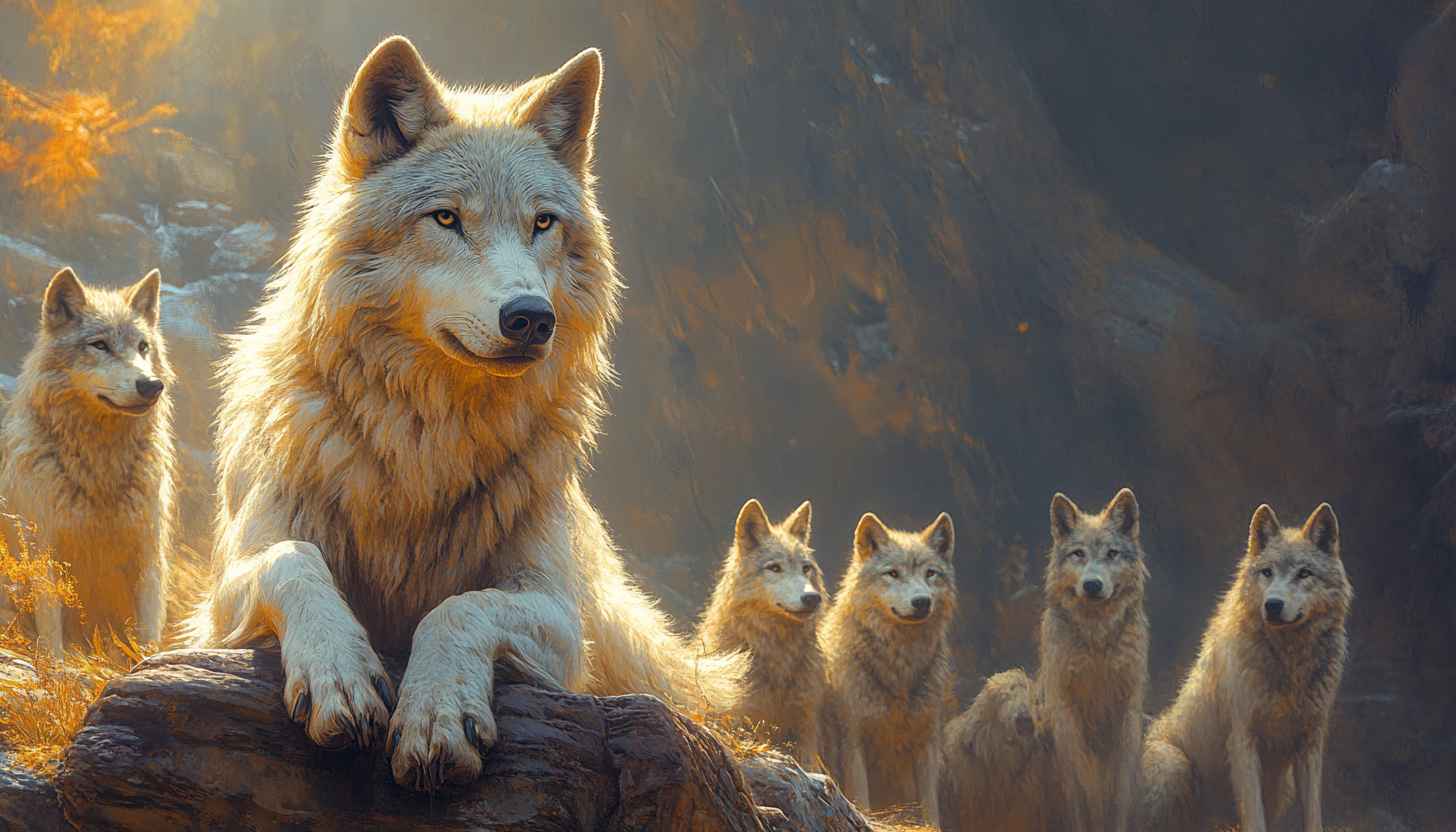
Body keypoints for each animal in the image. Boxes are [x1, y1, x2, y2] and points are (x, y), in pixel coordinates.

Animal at [0, 267, 175, 657]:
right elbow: (51, 633)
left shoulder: (148, 556)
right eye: (100, 345)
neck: (99, 472)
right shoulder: (43, 554)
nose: (151, 385)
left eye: (143, 347)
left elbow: (147, 637)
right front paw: (56, 666)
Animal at [184, 36, 745, 791]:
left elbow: (460, 607)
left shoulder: (561, 621)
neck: (426, 444)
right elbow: (293, 561)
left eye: (542, 222)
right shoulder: (225, 592)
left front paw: (436, 717)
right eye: (447, 218)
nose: (530, 317)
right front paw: (340, 676)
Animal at [820, 510, 957, 825]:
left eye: (930, 573)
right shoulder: (853, 742)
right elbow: (862, 803)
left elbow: (931, 810)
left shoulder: (927, 744)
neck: (900, 666)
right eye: (893, 573)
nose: (922, 602)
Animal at [1035, 488, 1149, 832]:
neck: (1097, 640)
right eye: (1078, 554)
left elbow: (1121, 797)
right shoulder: (1066, 716)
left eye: (1112, 554)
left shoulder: (1128, 714)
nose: (1093, 584)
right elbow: (1080, 791)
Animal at [1140, 503, 1352, 832]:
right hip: (1174, 765)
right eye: (1267, 572)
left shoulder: (1310, 745)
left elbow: (1313, 814)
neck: (1289, 662)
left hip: (1282, 788)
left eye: (1304, 573)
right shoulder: (1243, 741)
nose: (1273, 605)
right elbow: (1254, 815)